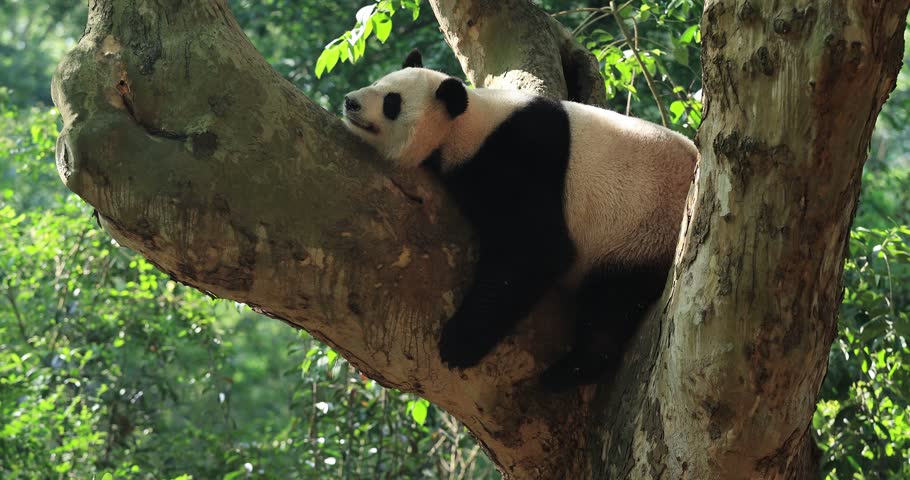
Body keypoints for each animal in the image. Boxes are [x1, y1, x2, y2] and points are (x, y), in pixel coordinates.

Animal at [342, 49, 697, 390]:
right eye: (378, 81)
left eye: (392, 101)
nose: (350, 101)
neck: (467, 125)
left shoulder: (519, 158)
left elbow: (535, 250)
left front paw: (458, 343)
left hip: (642, 234)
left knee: (612, 302)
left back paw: (567, 372)